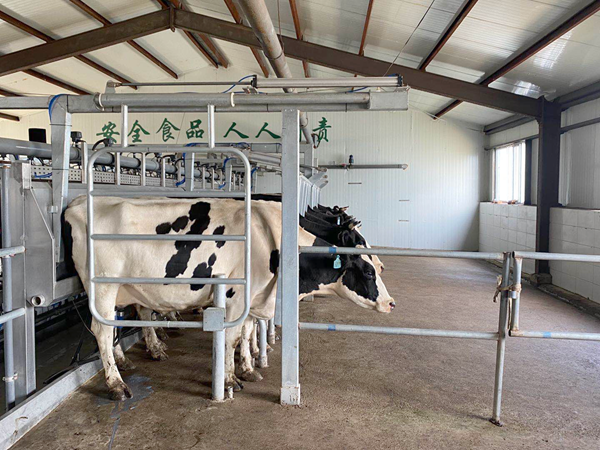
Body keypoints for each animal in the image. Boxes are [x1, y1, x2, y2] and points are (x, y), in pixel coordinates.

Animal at [65, 196, 395, 400]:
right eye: (367, 271)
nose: (390, 303)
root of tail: (79, 203)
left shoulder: (255, 297)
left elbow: (245, 334)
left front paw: (246, 369)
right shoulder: (238, 296)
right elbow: (233, 336)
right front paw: (228, 379)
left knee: (120, 322)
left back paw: (140, 355)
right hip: (103, 286)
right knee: (102, 331)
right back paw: (116, 384)